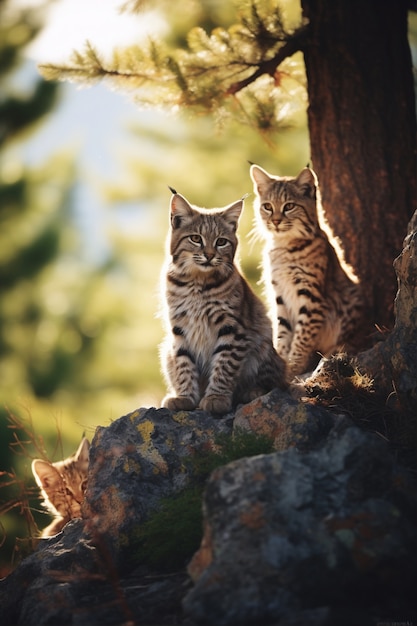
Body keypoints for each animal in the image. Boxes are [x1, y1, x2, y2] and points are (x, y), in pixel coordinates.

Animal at [159, 190, 286, 414]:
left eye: (221, 242)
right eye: (195, 239)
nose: (209, 256)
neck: (196, 282)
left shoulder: (232, 327)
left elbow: (225, 364)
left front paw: (216, 398)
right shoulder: (179, 326)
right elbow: (183, 363)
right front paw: (185, 397)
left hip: (263, 340)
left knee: (278, 381)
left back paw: (252, 392)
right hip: (166, 350)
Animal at [249, 163, 362, 378]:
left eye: (289, 206)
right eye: (267, 207)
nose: (275, 221)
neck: (283, 245)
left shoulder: (311, 296)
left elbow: (302, 335)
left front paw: (293, 367)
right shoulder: (280, 293)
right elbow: (283, 331)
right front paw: (283, 360)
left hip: (351, 296)